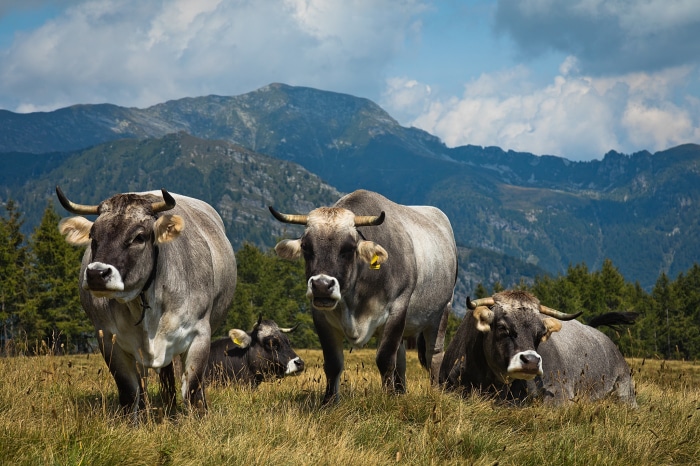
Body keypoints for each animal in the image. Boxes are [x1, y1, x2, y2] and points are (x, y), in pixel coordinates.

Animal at [56, 187, 237, 418]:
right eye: (92, 236)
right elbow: (129, 392)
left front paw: (199, 418)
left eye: (139, 237)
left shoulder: (200, 333)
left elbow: (192, 389)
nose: (97, 274)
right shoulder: (108, 338)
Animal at [270, 189, 458, 404]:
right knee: (401, 357)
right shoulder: (320, 316)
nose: (322, 286)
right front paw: (329, 402)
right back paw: (401, 392)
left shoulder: (397, 308)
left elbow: (385, 359)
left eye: (348, 248)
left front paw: (388, 398)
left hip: (442, 310)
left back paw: (435, 391)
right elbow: (333, 363)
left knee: (433, 353)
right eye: (306, 247)